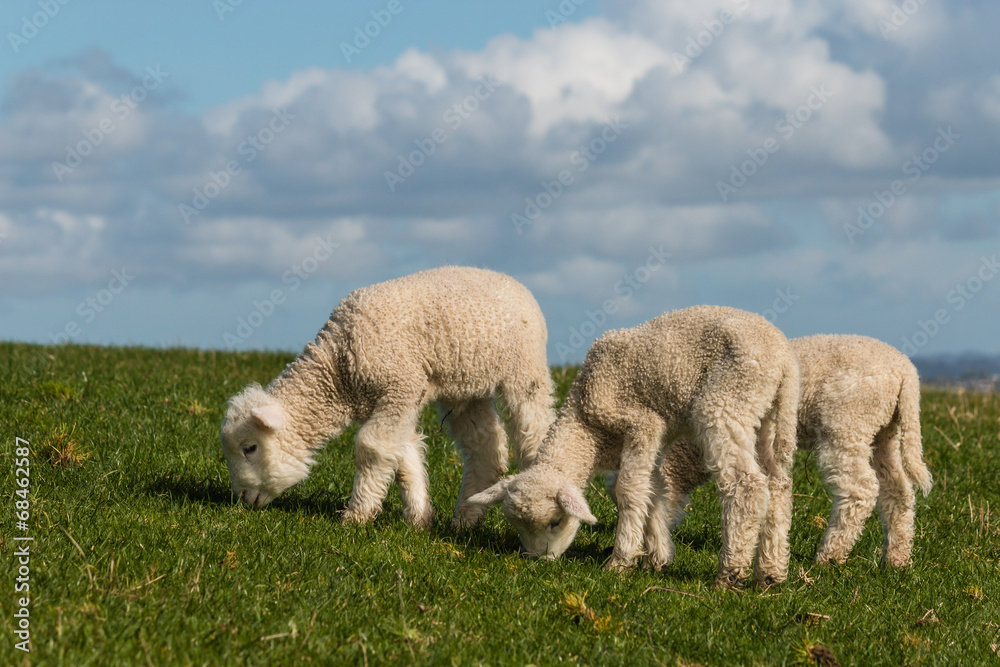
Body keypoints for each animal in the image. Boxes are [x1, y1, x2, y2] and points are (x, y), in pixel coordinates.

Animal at [219, 266, 555, 529]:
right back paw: (464, 520)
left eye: (250, 448)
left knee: (533, 431)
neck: (339, 368)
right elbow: (403, 453)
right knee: (486, 450)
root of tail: (511, 280)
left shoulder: (400, 386)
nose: (243, 500)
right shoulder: (393, 398)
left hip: (525, 368)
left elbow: (373, 447)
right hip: (466, 387)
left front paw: (357, 515)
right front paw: (419, 520)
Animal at [469, 305, 800, 589]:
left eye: (556, 522)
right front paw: (658, 557)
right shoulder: (654, 438)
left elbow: (627, 490)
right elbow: (652, 488)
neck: (588, 427)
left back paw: (730, 572)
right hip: (768, 416)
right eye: (517, 527)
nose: (538, 561)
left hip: (726, 401)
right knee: (778, 485)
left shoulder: (642, 423)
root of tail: (783, 359)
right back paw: (770, 573)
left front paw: (621, 560)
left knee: (746, 486)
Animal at [634, 334, 932, 568]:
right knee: (898, 490)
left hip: (848, 423)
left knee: (860, 489)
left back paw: (828, 557)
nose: (644, 558)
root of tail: (905, 373)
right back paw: (896, 559)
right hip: (885, 431)